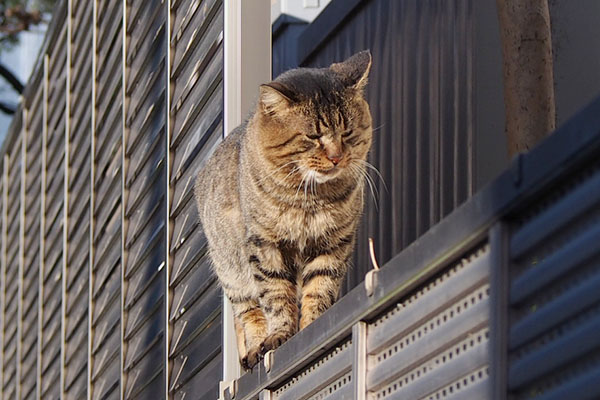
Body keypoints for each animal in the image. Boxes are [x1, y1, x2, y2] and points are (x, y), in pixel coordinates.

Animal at [197, 51, 372, 370]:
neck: (309, 199)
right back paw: (253, 350)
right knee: (248, 314)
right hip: (231, 271)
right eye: (313, 137)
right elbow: (276, 296)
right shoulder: (264, 246)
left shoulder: (333, 243)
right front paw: (279, 335)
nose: (336, 157)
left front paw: (312, 327)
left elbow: (320, 288)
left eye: (348, 133)